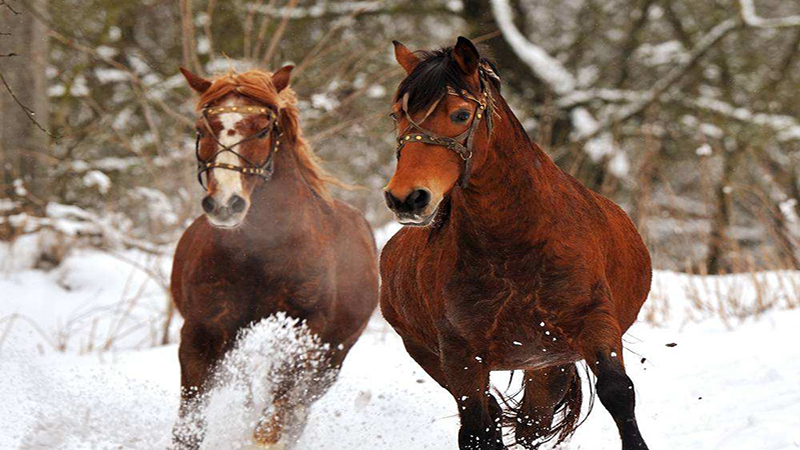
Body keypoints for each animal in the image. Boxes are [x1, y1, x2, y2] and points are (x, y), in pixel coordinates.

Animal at [170, 67, 379, 449]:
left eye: (263, 129)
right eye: (202, 129)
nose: (225, 204)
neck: (263, 253)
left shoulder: (306, 333)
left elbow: (273, 424)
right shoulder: (202, 331)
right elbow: (188, 428)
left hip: (331, 359)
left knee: (295, 411)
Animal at [380, 37, 652, 450]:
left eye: (460, 114)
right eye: (398, 115)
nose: (406, 199)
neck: (514, 247)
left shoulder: (594, 322)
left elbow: (618, 392)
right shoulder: (459, 354)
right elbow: (477, 428)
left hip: (548, 362)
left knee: (531, 420)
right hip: (436, 356)